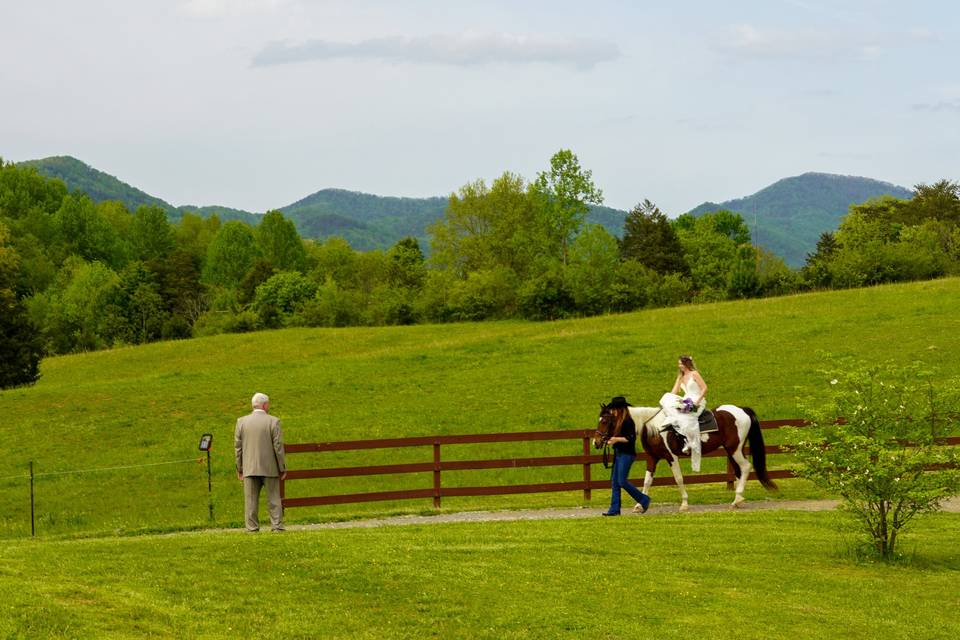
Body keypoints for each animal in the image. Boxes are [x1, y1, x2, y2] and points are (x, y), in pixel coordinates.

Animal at [592, 402, 780, 512]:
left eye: (605, 421)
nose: (596, 441)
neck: (655, 427)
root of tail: (742, 410)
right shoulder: (652, 458)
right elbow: (647, 481)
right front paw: (639, 505)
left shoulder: (671, 457)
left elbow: (679, 479)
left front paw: (684, 504)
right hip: (732, 450)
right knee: (739, 471)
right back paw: (738, 500)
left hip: (735, 449)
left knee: (746, 467)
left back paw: (737, 499)